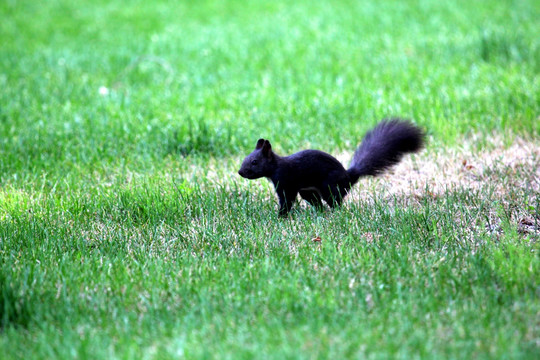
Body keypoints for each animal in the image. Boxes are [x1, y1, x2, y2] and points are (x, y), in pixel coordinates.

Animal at [238, 118, 424, 215]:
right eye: (245, 158)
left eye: (254, 162)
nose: (240, 172)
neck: (276, 167)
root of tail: (348, 177)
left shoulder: (285, 183)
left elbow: (287, 200)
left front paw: (280, 216)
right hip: (308, 191)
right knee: (318, 202)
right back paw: (320, 212)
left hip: (329, 186)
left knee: (335, 201)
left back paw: (334, 212)